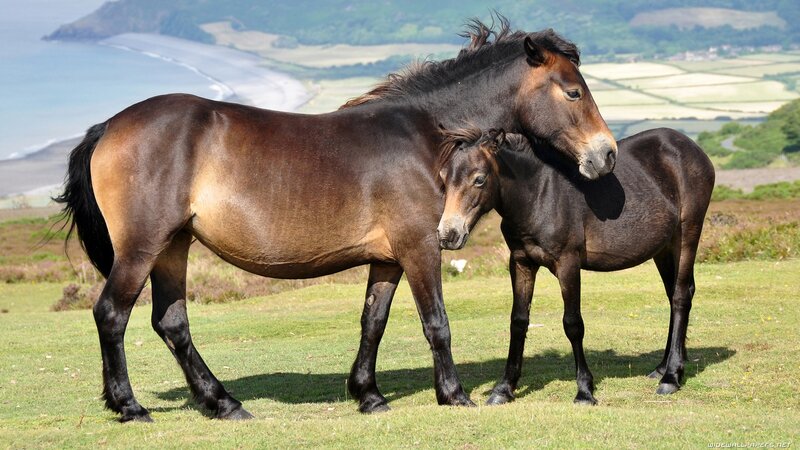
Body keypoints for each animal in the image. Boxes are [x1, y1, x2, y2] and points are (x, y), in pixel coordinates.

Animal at [55, 18, 616, 422]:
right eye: (572, 92)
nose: (606, 154)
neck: (425, 137)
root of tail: (110, 126)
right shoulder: (420, 246)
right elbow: (436, 322)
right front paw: (454, 394)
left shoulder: (389, 257)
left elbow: (373, 322)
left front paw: (369, 395)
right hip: (143, 246)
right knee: (112, 314)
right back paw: (130, 406)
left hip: (173, 245)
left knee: (171, 323)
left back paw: (224, 403)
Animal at [434, 127, 714, 405]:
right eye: (443, 178)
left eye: (479, 179)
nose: (448, 234)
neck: (540, 194)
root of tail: (691, 147)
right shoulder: (522, 262)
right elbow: (518, 321)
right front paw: (503, 389)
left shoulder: (568, 264)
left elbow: (573, 324)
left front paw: (584, 390)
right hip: (663, 248)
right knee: (675, 294)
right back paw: (663, 367)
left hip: (687, 234)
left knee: (680, 296)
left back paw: (671, 377)